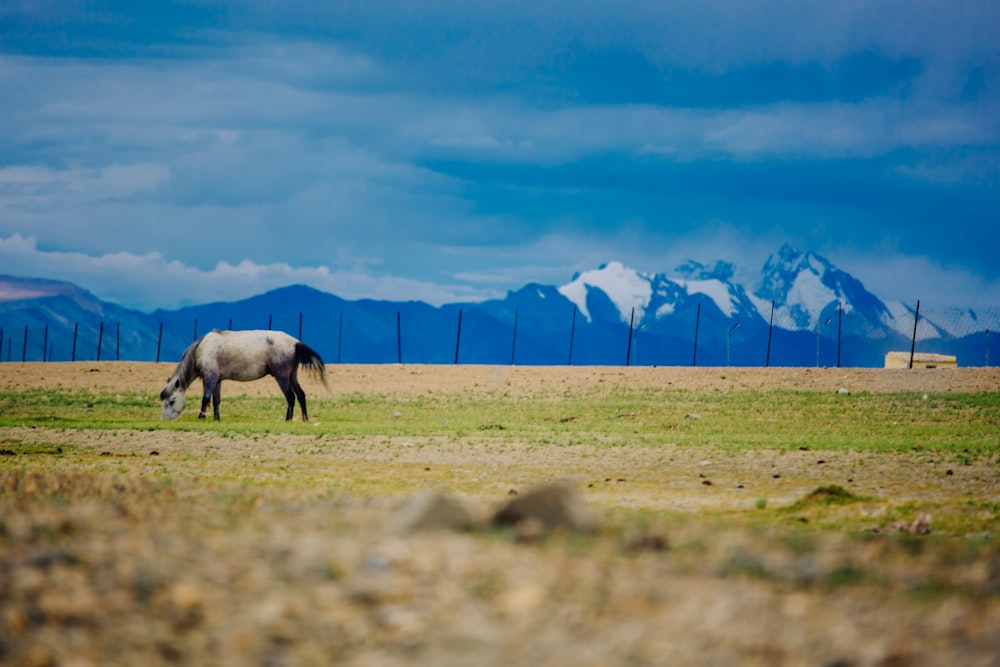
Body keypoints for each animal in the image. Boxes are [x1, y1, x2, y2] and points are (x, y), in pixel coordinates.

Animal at [158, 330, 326, 422]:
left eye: (172, 401)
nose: (165, 419)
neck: (201, 349)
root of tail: (296, 343)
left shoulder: (210, 378)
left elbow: (205, 398)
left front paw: (201, 417)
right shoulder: (218, 380)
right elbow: (216, 400)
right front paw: (216, 418)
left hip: (282, 377)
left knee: (290, 397)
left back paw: (288, 419)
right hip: (292, 376)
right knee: (301, 395)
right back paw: (305, 418)